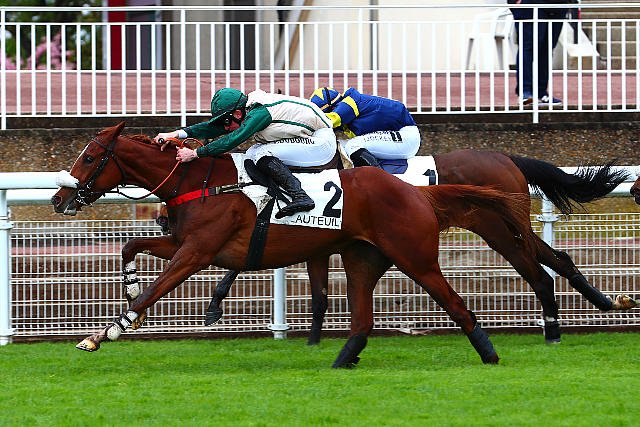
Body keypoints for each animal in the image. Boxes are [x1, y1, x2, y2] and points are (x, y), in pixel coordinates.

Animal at [51, 122, 535, 367]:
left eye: (90, 157)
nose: (58, 198)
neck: (201, 183)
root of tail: (419, 191)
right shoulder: (187, 242)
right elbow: (131, 246)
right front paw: (128, 284)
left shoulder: (198, 252)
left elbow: (154, 291)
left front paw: (105, 333)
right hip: (362, 258)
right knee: (362, 318)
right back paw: (343, 359)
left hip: (414, 256)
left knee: (456, 302)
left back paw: (489, 353)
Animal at [206, 150, 635, 345]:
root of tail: (504, 156)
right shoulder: (313, 238)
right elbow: (316, 292)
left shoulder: (311, 236)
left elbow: (245, 260)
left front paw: (214, 306)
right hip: (504, 227)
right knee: (554, 259)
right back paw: (599, 304)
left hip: (498, 228)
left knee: (537, 268)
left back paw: (556, 326)